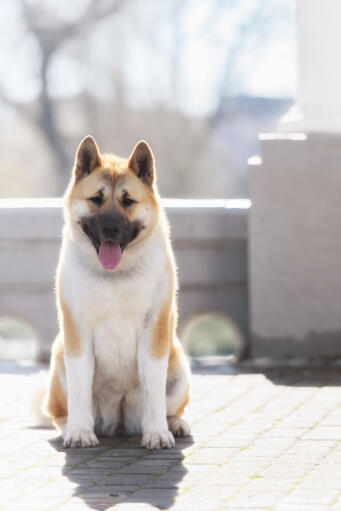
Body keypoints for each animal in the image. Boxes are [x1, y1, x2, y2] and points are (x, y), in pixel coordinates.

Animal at [41, 137, 190, 452]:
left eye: (128, 201)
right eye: (96, 199)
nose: (110, 228)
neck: (114, 276)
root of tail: (118, 419)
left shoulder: (154, 330)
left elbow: (153, 390)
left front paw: (157, 433)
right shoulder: (77, 333)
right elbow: (80, 389)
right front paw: (80, 433)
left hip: (179, 369)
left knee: (171, 407)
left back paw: (175, 424)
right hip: (59, 358)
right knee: (59, 413)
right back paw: (68, 428)